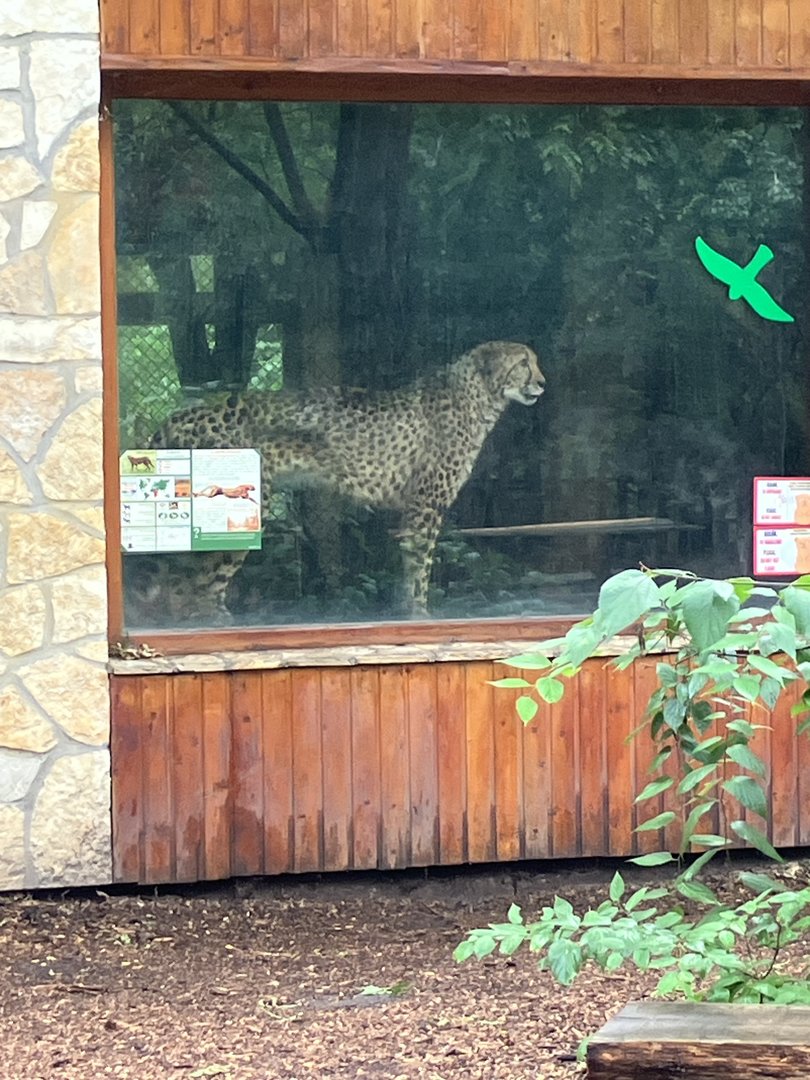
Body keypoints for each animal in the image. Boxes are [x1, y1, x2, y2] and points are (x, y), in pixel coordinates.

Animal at [124, 340, 546, 626]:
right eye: (523, 363)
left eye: (535, 361)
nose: (542, 382)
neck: (478, 394)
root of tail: (183, 413)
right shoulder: (425, 505)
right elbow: (420, 566)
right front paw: (420, 613)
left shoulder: (410, 509)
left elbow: (407, 564)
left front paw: (405, 609)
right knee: (196, 585)